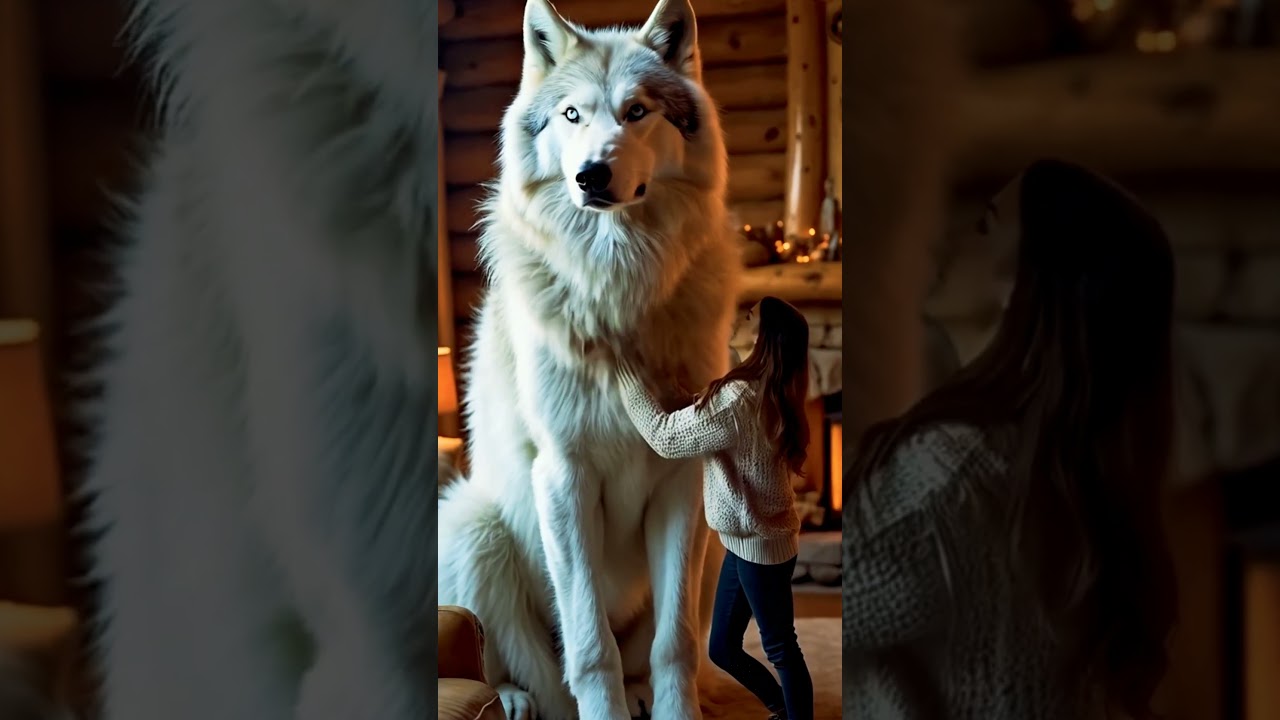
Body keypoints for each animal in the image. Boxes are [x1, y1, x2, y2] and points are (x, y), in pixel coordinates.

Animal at [436, 1, 741, 719]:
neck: (619, 289)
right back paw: (514, 700)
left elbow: (673, 647)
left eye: (637, 111)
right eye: (572, 114)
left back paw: (637, 698)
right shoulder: (564, 477)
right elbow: (589, 648)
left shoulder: (683, 484)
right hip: (472, 527)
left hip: (715, 548)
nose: (592, 175)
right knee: (524, 669)